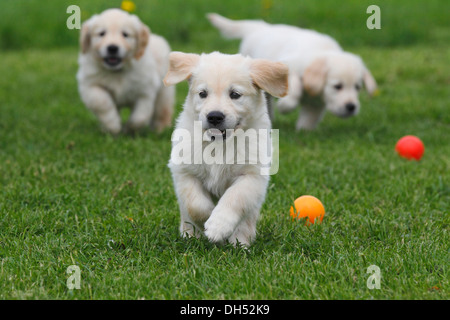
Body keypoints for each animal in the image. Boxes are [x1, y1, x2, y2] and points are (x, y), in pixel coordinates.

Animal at [164, 51, 288, 246]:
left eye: (235, 94)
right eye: (203, 93)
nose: (214, 116)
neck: (219, 144)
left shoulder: (252, 176)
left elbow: (234, 198)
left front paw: (217, 226)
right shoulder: (185, 172)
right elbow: (195, 205)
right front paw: (206, 221)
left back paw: (239, 243)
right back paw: (190, 235)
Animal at [209, 12, 378, 130]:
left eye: (357, 87)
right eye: (337, 86)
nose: (351, 107)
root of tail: (262, 27)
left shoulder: (315, 105)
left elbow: (309, 119)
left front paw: (304, 131)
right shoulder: (287, 67)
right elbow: (294, 88)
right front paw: (286, 106)